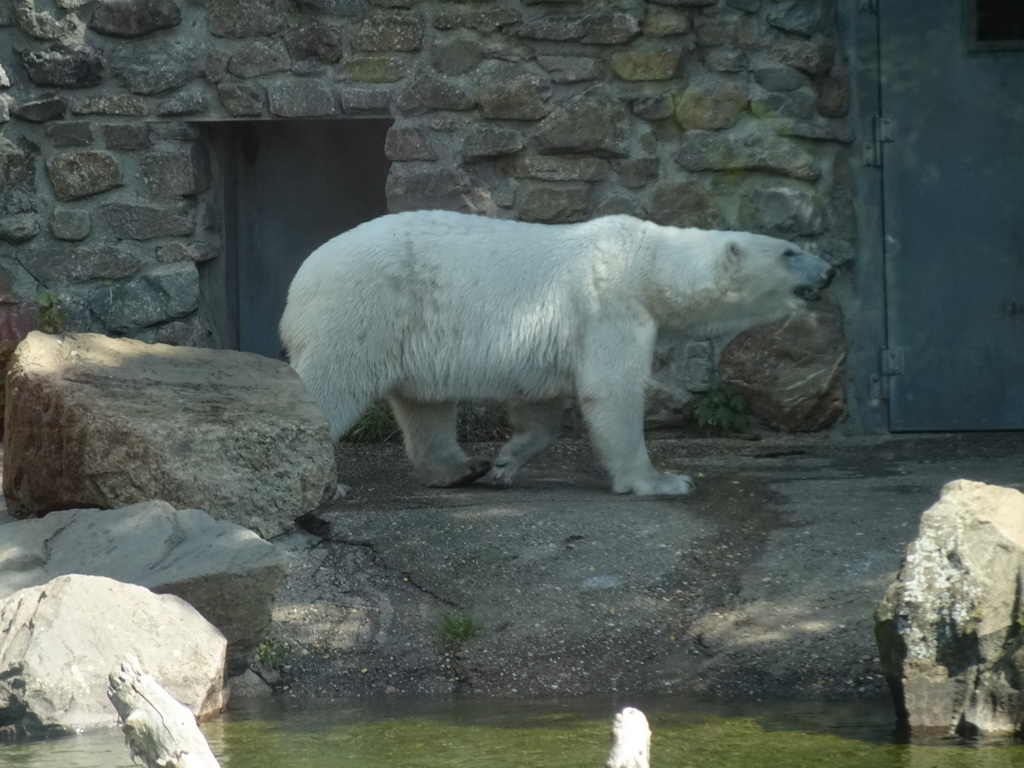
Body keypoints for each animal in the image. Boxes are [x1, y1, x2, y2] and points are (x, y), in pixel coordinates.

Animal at [280, 210, 831, 499]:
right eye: (789, 251)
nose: (829, 271)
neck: (647, 263)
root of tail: (301, 276)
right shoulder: (609, 307)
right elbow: (611, 391)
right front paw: (661, 480)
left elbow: (540, 408)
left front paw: (506, 462)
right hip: (361, 310)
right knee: (329, 385)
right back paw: (328, 486)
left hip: (406, 330)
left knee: (425, 407)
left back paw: (463, 468)